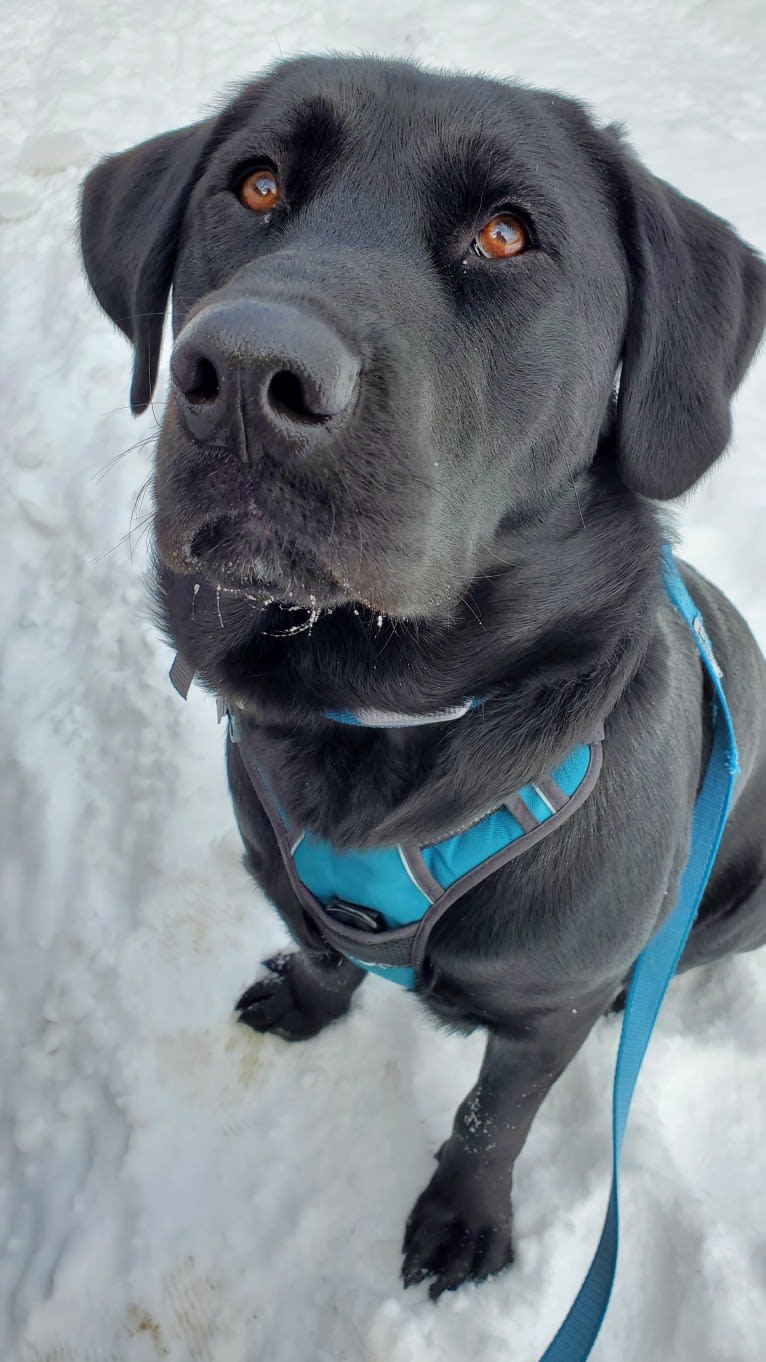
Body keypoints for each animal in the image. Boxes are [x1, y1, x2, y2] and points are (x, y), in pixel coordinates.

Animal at [80, 58, 763, 1302]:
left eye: (505, 234)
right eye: (254, 184)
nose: (245, 373)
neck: (384, 717)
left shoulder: (545, 1002)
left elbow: (495, 1117)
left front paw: (462, 1220)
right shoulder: (283, 866)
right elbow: (321, 946)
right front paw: (308, 998)